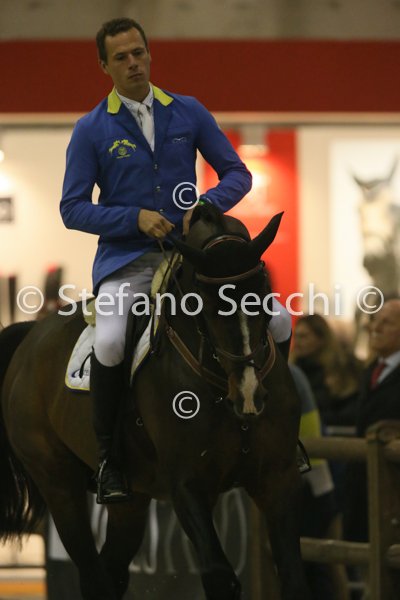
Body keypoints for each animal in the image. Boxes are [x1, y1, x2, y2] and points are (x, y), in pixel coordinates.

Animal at [0, 204, 308, 600]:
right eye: (207, 304)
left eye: (265, 293)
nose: (250, 395)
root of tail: (30, 335)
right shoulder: (188, 485)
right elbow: (220, 576)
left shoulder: (277, 477)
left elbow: (293, 575)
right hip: (57, 482)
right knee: (93, 572)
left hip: (130, 500)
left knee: (112, 569)